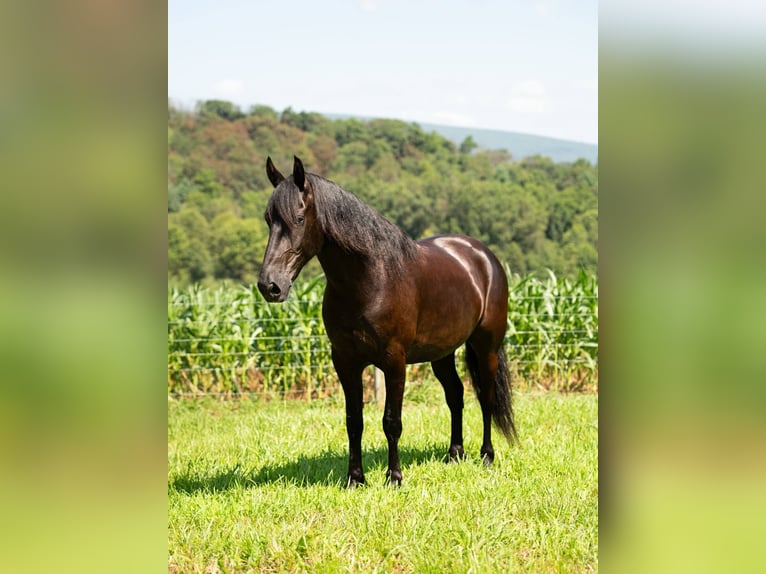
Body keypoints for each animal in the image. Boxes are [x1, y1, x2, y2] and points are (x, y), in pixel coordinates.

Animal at [258, 156, 517, 487]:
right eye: (269, 220)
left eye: (299, 218)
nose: (270, 286)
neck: (370, 280)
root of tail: (484, 257)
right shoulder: (345, 361)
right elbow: (354, 420)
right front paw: (355, 479)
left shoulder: (394, 361)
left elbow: (392, 421)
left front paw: (394, 477)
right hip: (442, 353)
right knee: (455, 395)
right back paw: (454, 454)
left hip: (486, 347)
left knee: (486, 398)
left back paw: (487, 456)